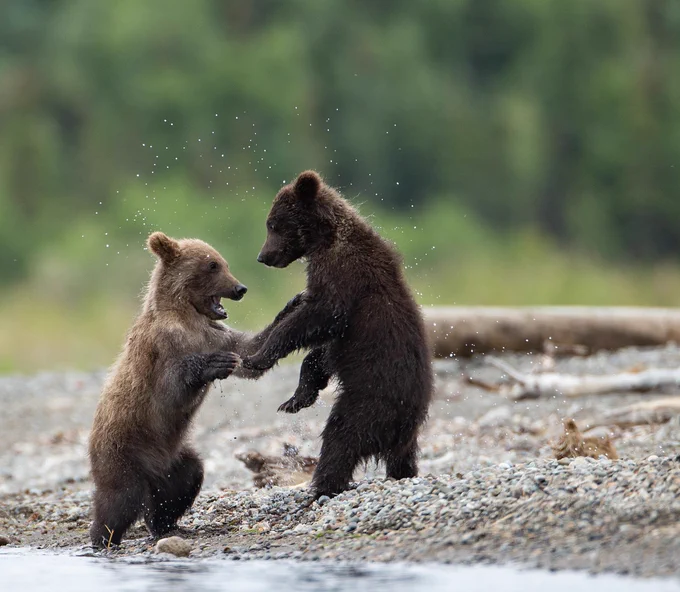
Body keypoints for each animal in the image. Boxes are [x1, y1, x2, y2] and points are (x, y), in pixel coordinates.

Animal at [88, 232, 283, 548]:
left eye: (223, 262)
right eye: (212, 265)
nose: (240, 288)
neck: (188, 316)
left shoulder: (215, 334)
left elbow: (250, 352)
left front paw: (292, 308)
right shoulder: (164, 346)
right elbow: (172, 387)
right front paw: (216, 363)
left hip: (173, 459)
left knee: (182, 483)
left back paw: (166, 526)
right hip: (123, 450)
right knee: (120, 499)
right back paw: (102, 536)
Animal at [244, 171, 434, 498]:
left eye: (273, 224)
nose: (262, 256)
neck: (325, 239)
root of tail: (404, 426)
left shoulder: (343, 276)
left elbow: (318, 317)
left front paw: (259, 357)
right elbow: (321, 354)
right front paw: (296, 398)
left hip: (370, 400)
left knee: (342, 436)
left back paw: (322, 485)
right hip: (404, 431)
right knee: (402, 458)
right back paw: (402, 473)